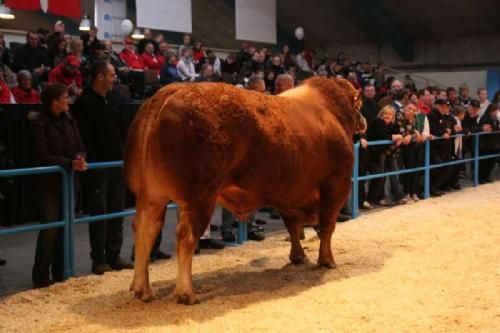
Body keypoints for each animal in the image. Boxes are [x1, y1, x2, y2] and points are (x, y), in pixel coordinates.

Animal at [124, 76, 364, 302]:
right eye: (359, 104)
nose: (363, 121)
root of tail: (167, 93)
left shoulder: (288, 195)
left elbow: (293, 227)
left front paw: (298, 257)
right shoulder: (336, 187)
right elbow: (327, 227)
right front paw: (327, 261)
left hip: (150, 196)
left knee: (145, 230)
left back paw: (141, 289)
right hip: (199, 197)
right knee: (185, 236)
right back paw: (186, 293)